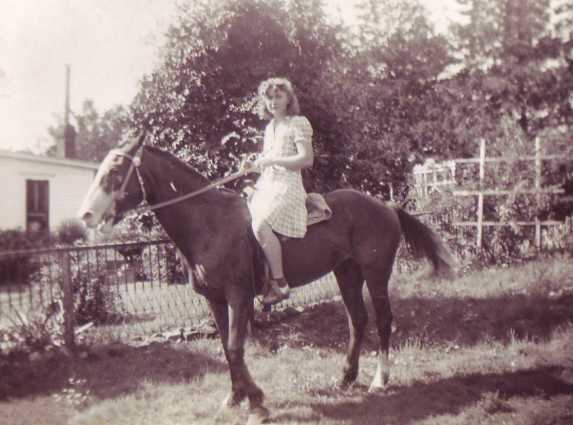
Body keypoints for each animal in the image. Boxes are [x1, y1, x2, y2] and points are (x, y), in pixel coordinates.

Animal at [79, 134, 456, 422]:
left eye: (116, 170)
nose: (86, 215)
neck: (209, 223)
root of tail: (385, 206)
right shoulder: (215, 299)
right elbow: (226, 348)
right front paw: (235, 398)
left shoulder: (239, 296)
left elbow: (235, 346)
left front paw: (257, 402)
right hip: (346, 272)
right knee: (357, 320)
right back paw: (345, 378)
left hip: (376, 274)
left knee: (383, 320)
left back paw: (379, 380)